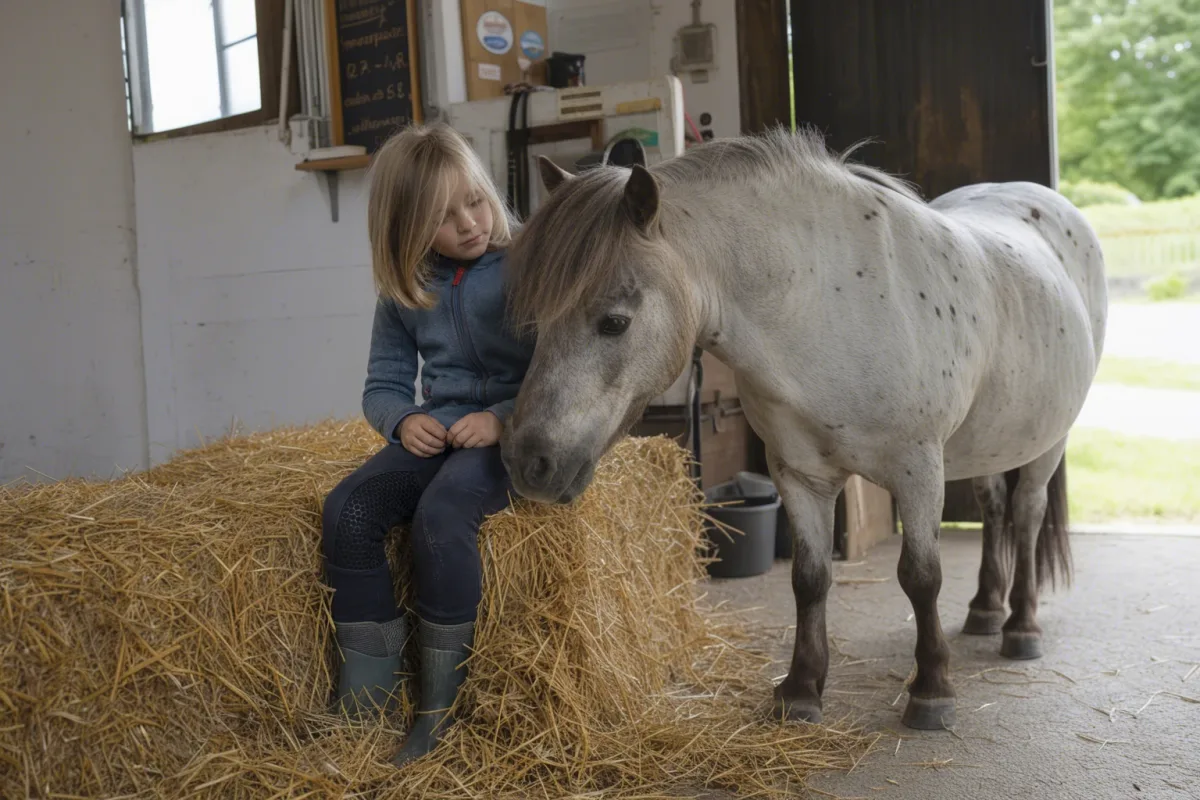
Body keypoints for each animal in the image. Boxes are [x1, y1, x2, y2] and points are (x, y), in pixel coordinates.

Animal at [499, 129, 1107, 731]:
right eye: (534, 319)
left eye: (614, 322)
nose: (529, 462)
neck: (823, 306)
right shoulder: (799, 474)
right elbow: (809, 578)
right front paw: (800, 689)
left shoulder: (918, 470)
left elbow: (921, 576)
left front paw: (932, 689)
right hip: (988, 444)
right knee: (994, 509)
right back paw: (985, 608)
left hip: (1048, 444)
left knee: (1026, 515)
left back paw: (1021, 626)